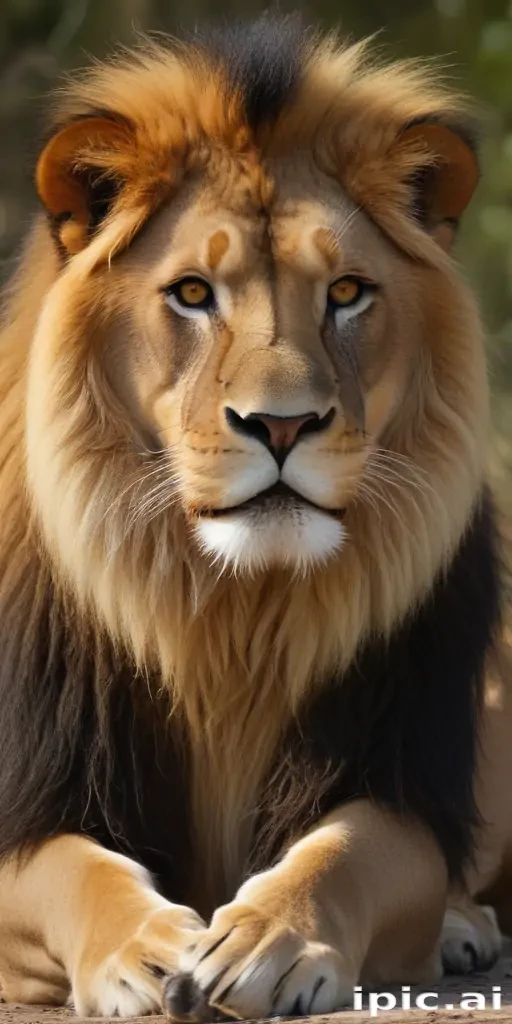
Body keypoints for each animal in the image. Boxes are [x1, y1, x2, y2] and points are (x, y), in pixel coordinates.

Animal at [0, 12, 510, 1019]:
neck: (230, 610)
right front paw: (144, 948)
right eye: (194, 294)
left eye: (346, 292)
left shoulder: (401, 771)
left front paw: (272, 937)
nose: (281, 424)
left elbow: (349, 852)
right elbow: (77, 869)